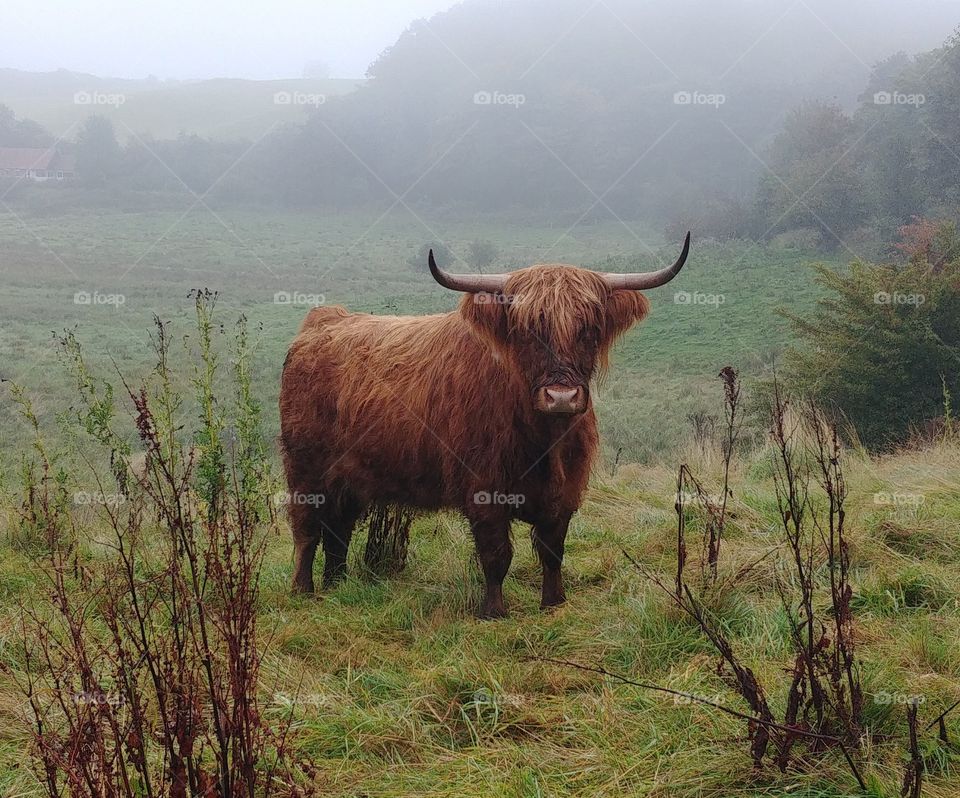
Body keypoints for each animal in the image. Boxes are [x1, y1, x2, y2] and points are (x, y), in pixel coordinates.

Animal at [279, 233, 690, 617]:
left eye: (589, 329)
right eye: (526, 330)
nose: (561, 397)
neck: (545, 441)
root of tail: (325, 319)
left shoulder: (566, 493)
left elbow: (553, 550)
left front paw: (554, 602)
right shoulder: (484, 488)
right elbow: (497, 554)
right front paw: (494, 611)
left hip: (350, 477)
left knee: (339, 530)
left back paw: (338, 585)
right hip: (306, 468)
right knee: (307, 527)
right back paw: (302, 589)